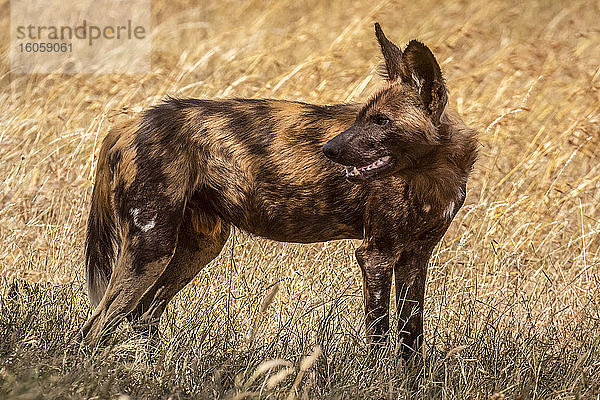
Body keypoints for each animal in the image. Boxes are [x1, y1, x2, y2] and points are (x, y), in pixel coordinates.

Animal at [83, 23, 478, 358]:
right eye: (361, 117)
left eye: (381, 121)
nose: (329, 150)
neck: (431, 173)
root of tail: (130, 122)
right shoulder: (376, 255)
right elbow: (380, 337)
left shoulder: (415, 258)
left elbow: (412, 338)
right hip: (152, 248)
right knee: (95, 325)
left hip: (197, 247)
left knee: (142, 315)